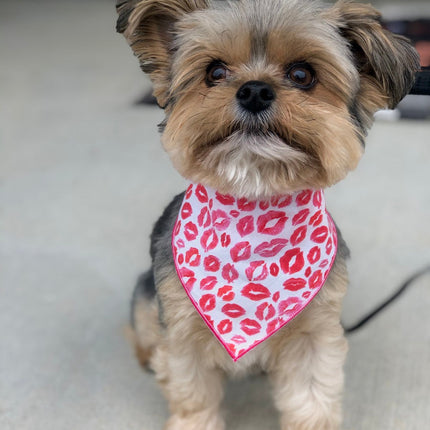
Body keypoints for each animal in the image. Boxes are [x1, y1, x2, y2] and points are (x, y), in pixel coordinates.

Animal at [116, 1, 418, 428]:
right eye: (215, 72)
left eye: (302, 75)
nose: (255, 90)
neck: (255, 207)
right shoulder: (182, 333)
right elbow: (192, 395)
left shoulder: (315, 336)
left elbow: (311, 400)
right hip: (147, 293)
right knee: (140, 327)